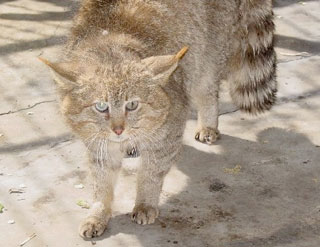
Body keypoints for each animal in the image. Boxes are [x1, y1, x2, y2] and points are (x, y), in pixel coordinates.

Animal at [40, 0, 278, 239]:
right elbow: (101, 181)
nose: (118, 130)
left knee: (208, 90)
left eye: (132, 105)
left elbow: (151, 173)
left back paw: (208, 124)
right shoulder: (98, 142)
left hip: (206, 56)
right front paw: (97, 213)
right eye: (101, 106)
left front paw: (145, 203)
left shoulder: (169, 129)